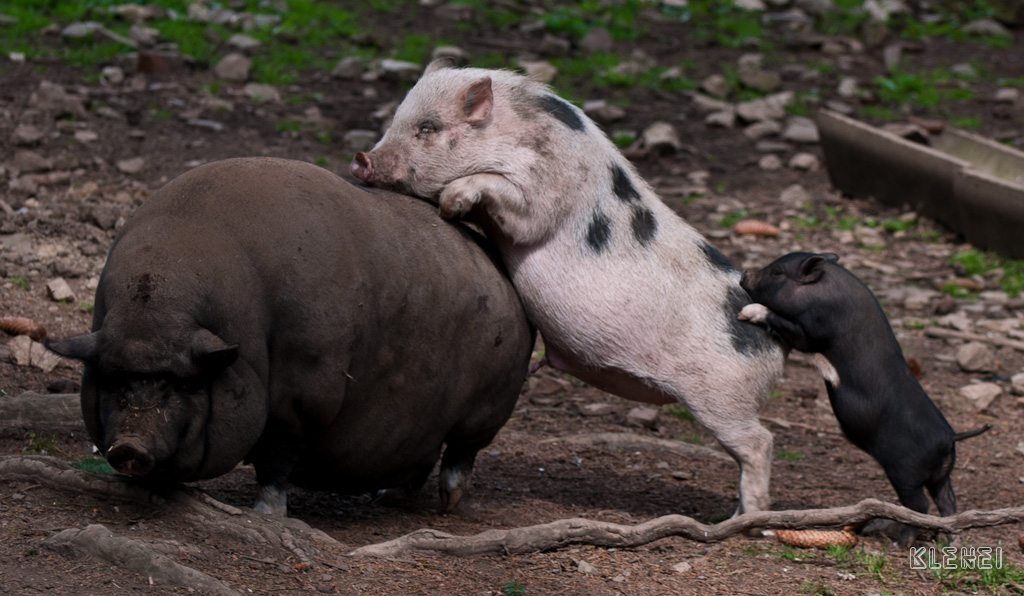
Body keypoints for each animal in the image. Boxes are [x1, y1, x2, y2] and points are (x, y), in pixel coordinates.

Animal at [45, 157, 535, 515]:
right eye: (112, 379)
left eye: (181, 384)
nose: (129, 445)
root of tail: (505, 281)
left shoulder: (302, 401)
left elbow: (275, 461)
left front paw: (264, 515)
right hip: (429, 424)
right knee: (421, 458)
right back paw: (387, 498)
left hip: (489, 405)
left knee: (461, 452)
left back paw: (448, 505)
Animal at [351, 60, 785, 515]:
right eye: (397, 118)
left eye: (428, 127)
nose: (361, 159)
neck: (512, 130)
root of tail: (771, 338)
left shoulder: (542, 189)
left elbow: (512, 203)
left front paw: (450, 204)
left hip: (724, 398)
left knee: (760, 443)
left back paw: (743, 519)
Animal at [738, 252, 990, 545]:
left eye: (777, 272)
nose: (745, 274)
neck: (822, 293)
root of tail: (950, 438)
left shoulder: (812, 331)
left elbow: (787, 326)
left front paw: (747, 312)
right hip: (941, 475)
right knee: (948, 500)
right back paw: (949, 540)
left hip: (905, 472)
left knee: (920, 505)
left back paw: (901, 543)